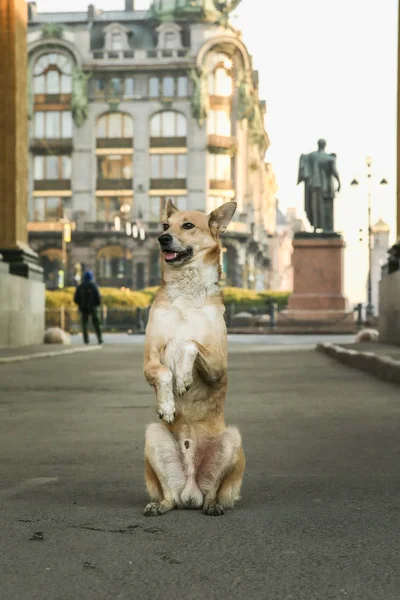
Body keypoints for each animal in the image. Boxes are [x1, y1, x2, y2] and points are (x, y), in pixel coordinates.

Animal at [142, 200, 245, 516]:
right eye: (165, 225)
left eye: (188, 226)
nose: (162, 239)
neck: (186, 293)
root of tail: (191, 490)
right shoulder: (149, 359)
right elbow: (164, 369)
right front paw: (167, 405)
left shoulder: (218, 365)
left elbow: (190, 342)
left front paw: (184, 378)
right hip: (153, 437)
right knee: (169, 496)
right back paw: (159, 505)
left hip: (233, 440)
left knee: (214, 490)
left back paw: (212, 505)